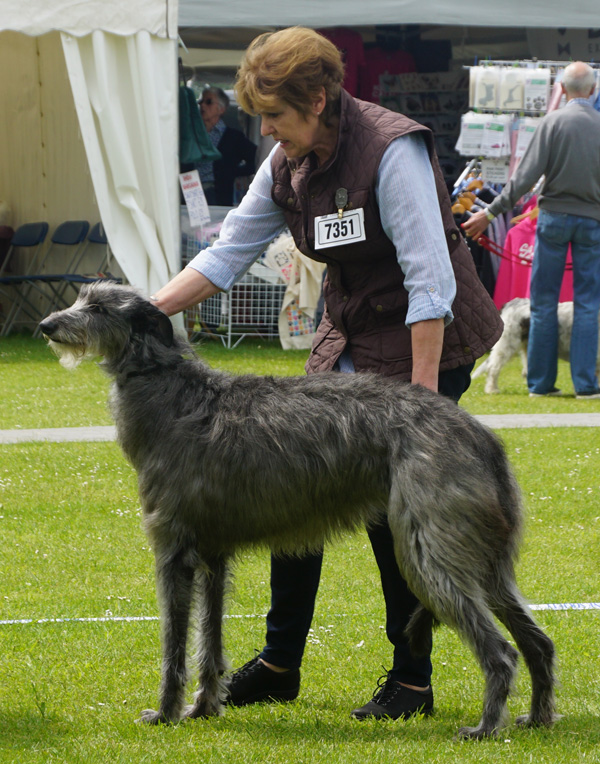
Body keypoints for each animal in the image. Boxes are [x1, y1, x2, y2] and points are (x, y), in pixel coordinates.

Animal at [39, 282, 556, 740]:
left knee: (501, 651)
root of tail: (481, 436)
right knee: (538, 641)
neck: (170, 391)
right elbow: (210, 640)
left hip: (429, 552)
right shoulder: (213, 557)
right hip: (485, 559)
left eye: (100, 308)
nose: (46, 325)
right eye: (80, 297)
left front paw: (166, 713)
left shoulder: (174, 552)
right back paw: (537, 718)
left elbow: (175, 644)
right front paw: (204, 708)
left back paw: (486, 727)